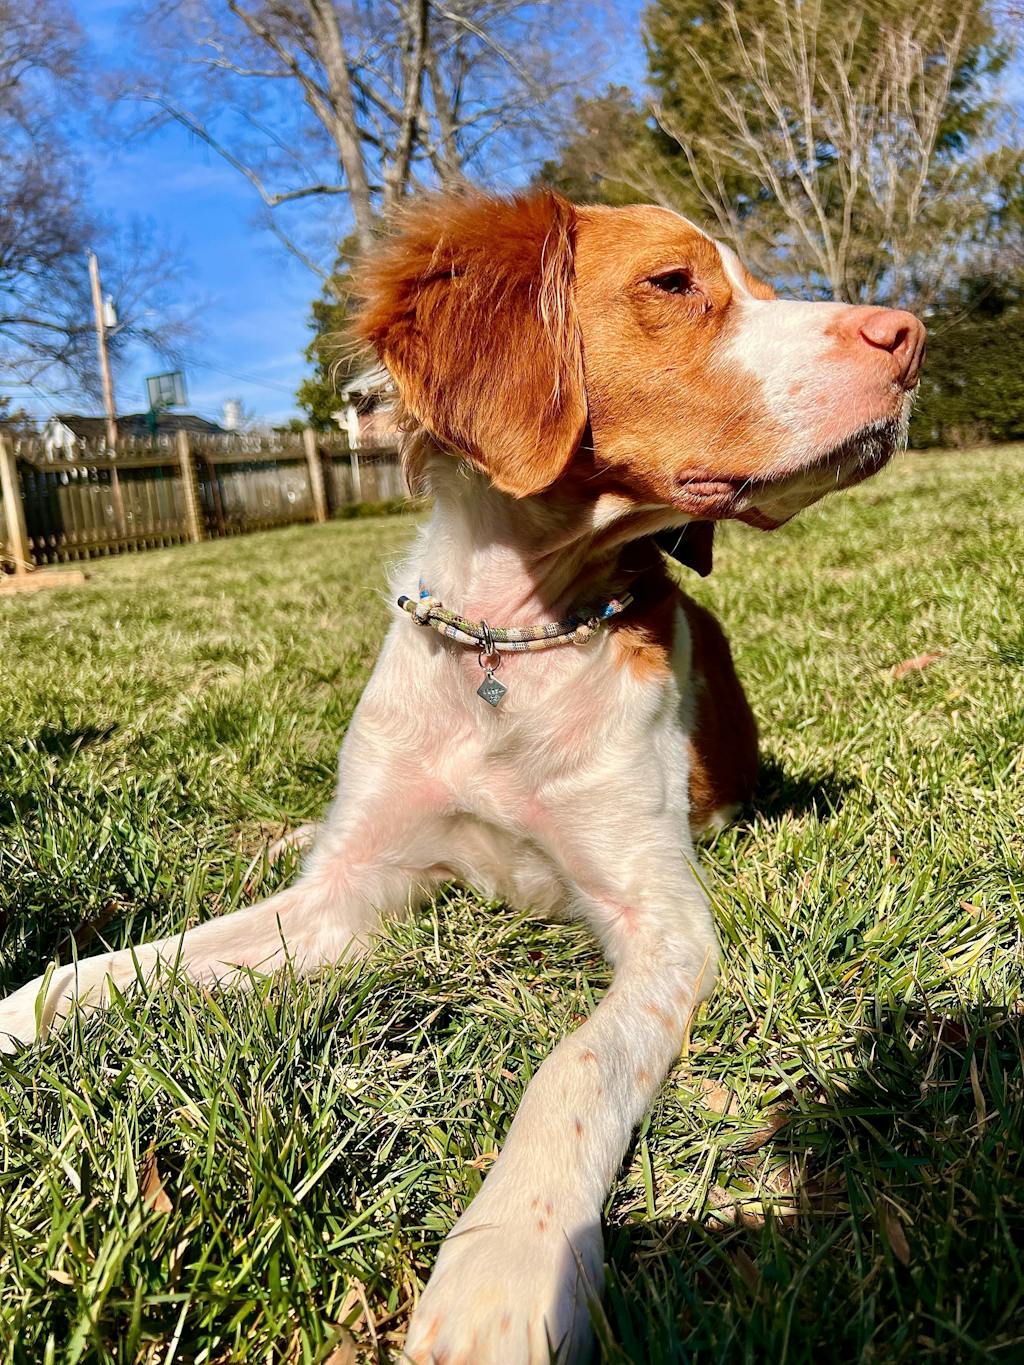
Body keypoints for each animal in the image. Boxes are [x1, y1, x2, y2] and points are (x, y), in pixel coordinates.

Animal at [0, 190, 924, 1363]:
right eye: (674, 284)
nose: (909, 335)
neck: (510, 641)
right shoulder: (345, 891)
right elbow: (137, 963)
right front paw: (24, 1009)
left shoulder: (666, 927)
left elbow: (571, 1071)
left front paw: (508, 1270)